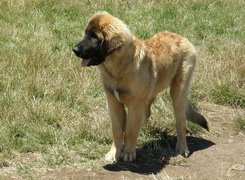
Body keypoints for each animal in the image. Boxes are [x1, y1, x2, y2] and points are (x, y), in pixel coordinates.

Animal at [72, 11, 208, 162]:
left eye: (94, 37)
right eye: (86, 34)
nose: (74, 49)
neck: (119, 68)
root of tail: (183, 38)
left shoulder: (135, 104)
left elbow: (131, 129)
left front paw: (128, 153)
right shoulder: (114, 103)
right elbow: (117, 130)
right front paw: (114, 153)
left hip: (178, 92)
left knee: (181, 121)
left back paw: (182, 148)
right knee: (147, 113)